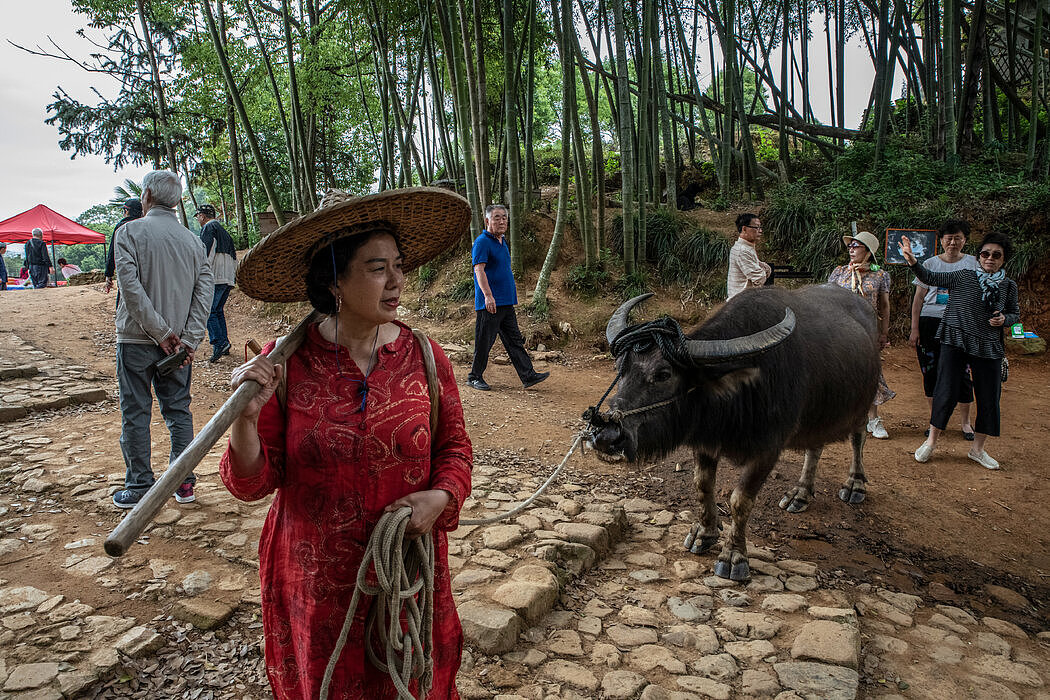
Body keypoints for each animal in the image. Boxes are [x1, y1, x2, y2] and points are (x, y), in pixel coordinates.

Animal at [588, 285, 881, 579]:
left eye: (663, 374)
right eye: (619, 368)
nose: (605, 435)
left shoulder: (767, 451)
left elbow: (740, 500)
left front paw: (733, 557)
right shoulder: (705, 442)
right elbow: (702, 485)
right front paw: (704, 533)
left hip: (863, 403)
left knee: (858, 437)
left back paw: (854, 484)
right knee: (815, 446)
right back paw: (800, 493)